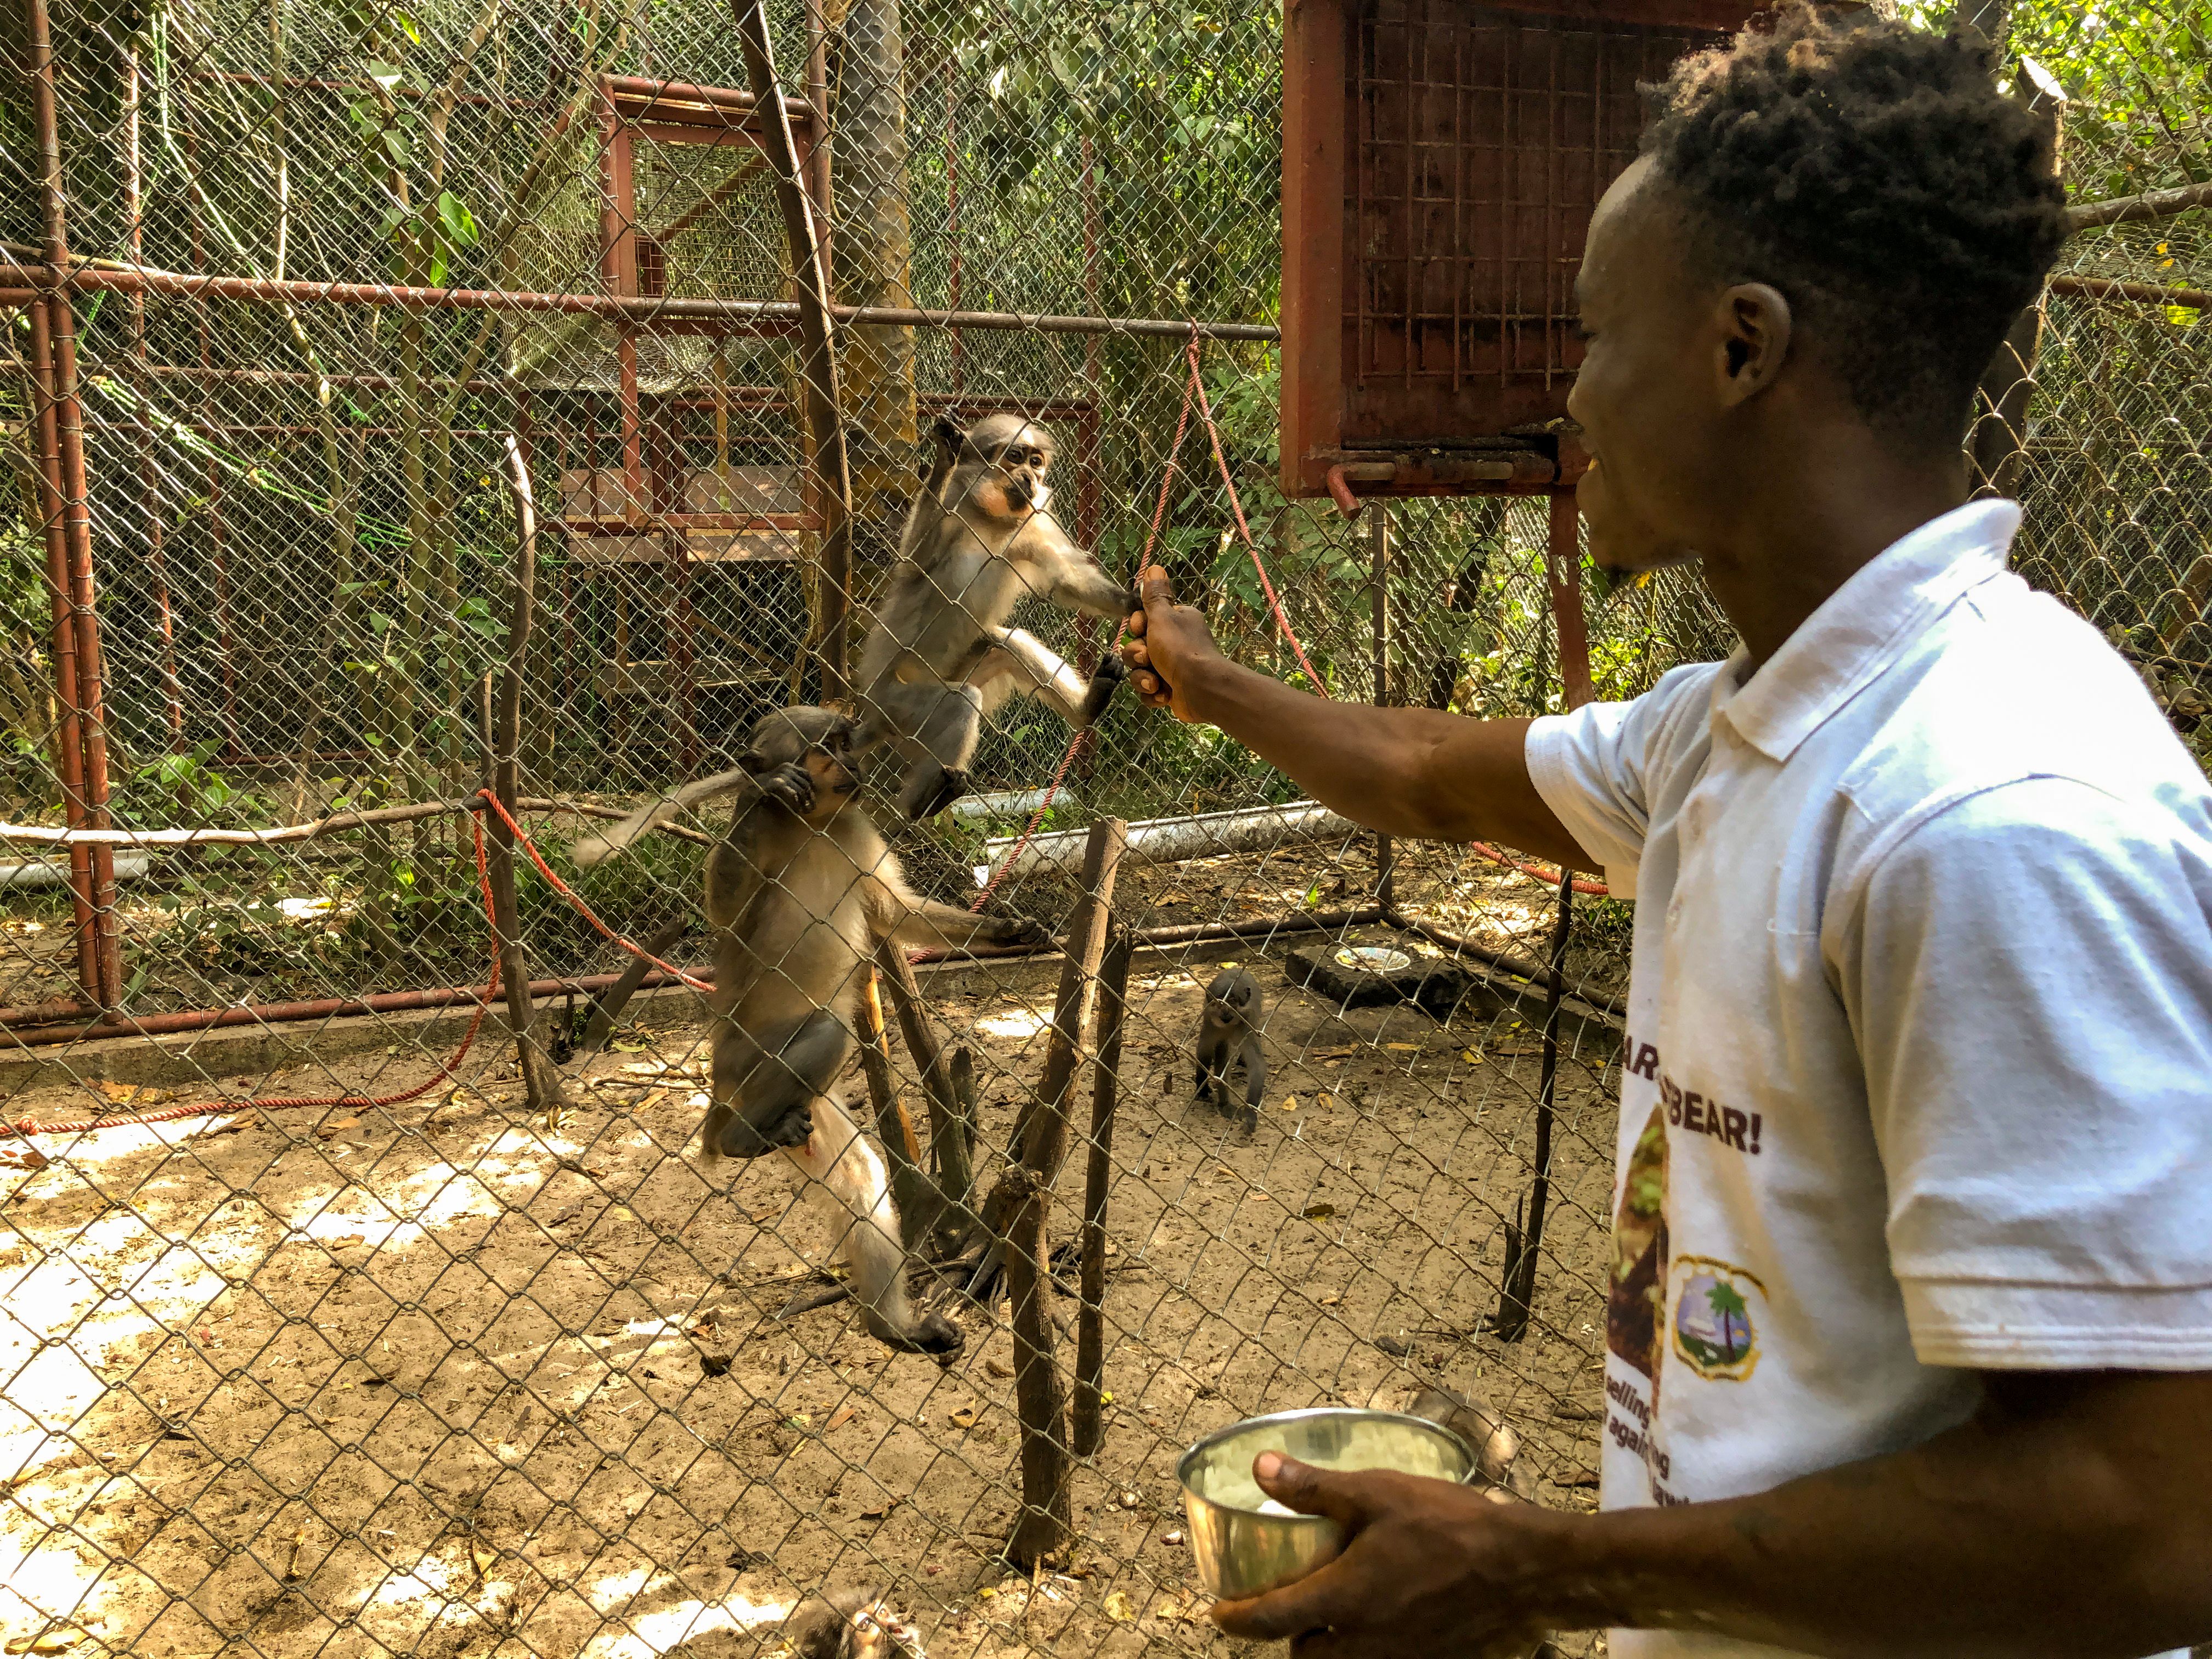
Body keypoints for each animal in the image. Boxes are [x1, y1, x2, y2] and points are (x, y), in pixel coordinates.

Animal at [579, 708, 1044, 1353]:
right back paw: (736, 1140)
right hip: (749, 1066)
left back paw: (890, 1326)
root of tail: (725, 1092)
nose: (856, 763)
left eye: (849, 743)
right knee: (827, 1031)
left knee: (860, 1175)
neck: (816, 823)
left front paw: (1007, 930)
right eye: (829, 748)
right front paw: (766, 790)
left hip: (806, 1106)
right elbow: (724, 911)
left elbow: (896, 913)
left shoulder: (854, 827)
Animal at [858, 416, 1141, 818]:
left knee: (1007, 642)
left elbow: (1068, 581)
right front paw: (944, 460)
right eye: (1016, 457)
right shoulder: (953, 505)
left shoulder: (1034, 525)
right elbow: (913, 564)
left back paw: (1087, 708)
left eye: (1037, 462)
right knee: (960, 701)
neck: (992, 520)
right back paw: (921, 806)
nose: (1030, 477)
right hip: (895, 700)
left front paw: (1134, 602)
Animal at [1194, 969, 1265, 1141]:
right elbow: (1204, 1051)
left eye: (1232, 1001)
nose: (1226, 1013)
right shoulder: (1210, 1022)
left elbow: (1257, 1065)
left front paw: (1250, 1116)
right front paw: (1202, 1085)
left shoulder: (1246, 1025)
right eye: (1220, 1003)